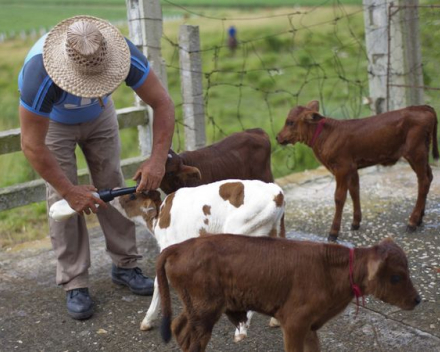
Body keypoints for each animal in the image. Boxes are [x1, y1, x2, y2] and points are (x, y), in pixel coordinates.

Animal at [158, 234, 420, 352]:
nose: (417, 300)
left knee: (179, 327)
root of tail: (181, 246)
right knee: (193, 340)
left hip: (198, 307)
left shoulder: (310, 325)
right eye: (396, 277)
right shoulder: (294, 322)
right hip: (205, 310)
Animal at [276, 100, 438, 241]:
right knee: (428, 177)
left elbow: (339, 197)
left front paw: (333, 232)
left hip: (415, 152)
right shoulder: (352, 168)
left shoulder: (342, 168)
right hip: (421, 153)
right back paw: (420, 218)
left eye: (290, 122)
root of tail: (422, 107)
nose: (277, 137)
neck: (325, 136)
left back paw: (412, 222)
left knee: (423, 181)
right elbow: (355, 191)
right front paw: (355, 222)